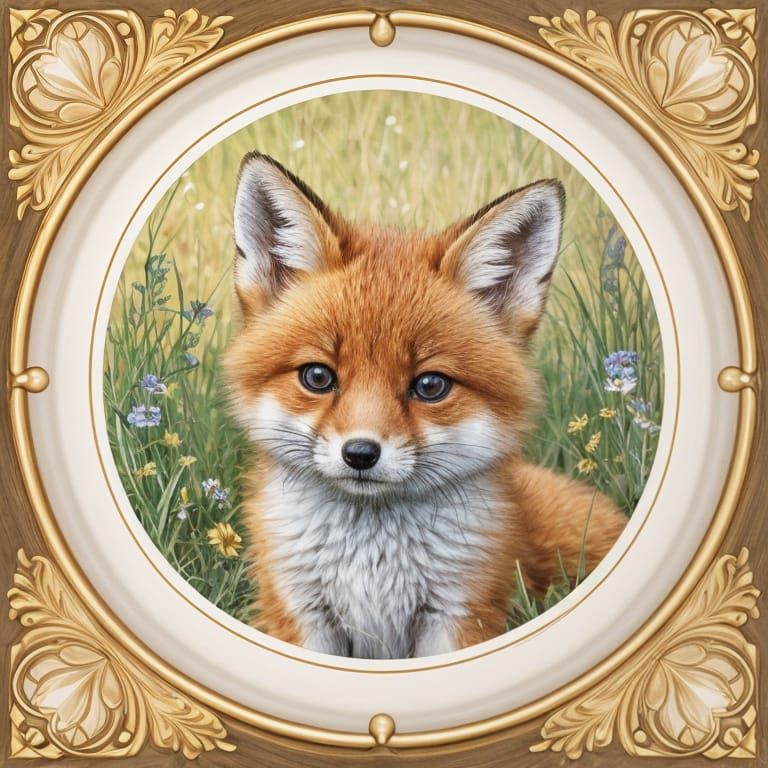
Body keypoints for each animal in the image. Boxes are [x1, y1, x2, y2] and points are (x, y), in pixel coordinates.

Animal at [224, 152, 627, 659]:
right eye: (317, 377)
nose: (360, 454)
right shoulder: (299, 613)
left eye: (431, 385)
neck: (370, 564)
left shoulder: (459, 613)